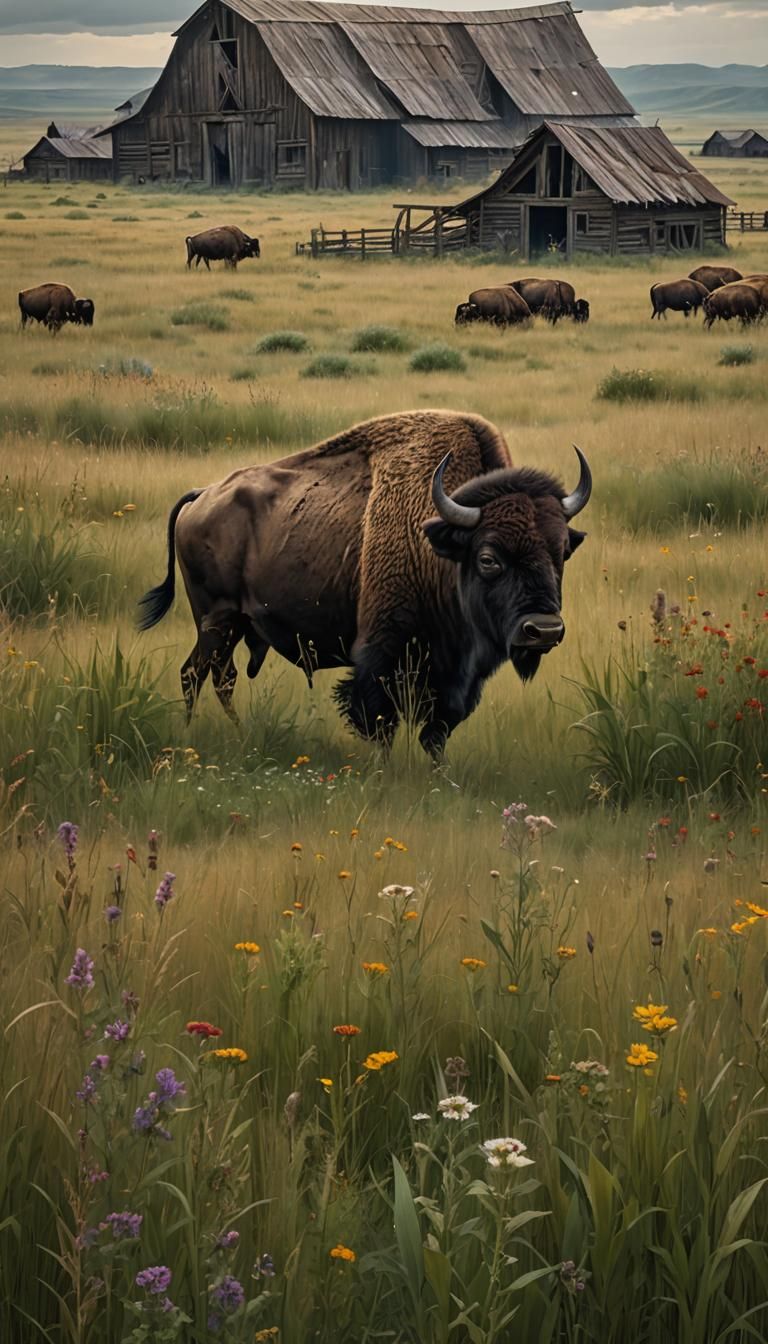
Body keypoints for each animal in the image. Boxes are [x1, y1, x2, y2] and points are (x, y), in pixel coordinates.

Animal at [138, 410, 591, 758]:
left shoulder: (456, 674)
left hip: (230, 627)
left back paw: (225, 732)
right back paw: (205, 734)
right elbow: (379, 720)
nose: (543, 630)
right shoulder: (381, 654)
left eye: (562, 552)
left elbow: (437, 731)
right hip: (217, 619)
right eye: (488, 558)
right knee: (201, 675)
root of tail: (203, 494)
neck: (437, 543)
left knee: (214, 675)